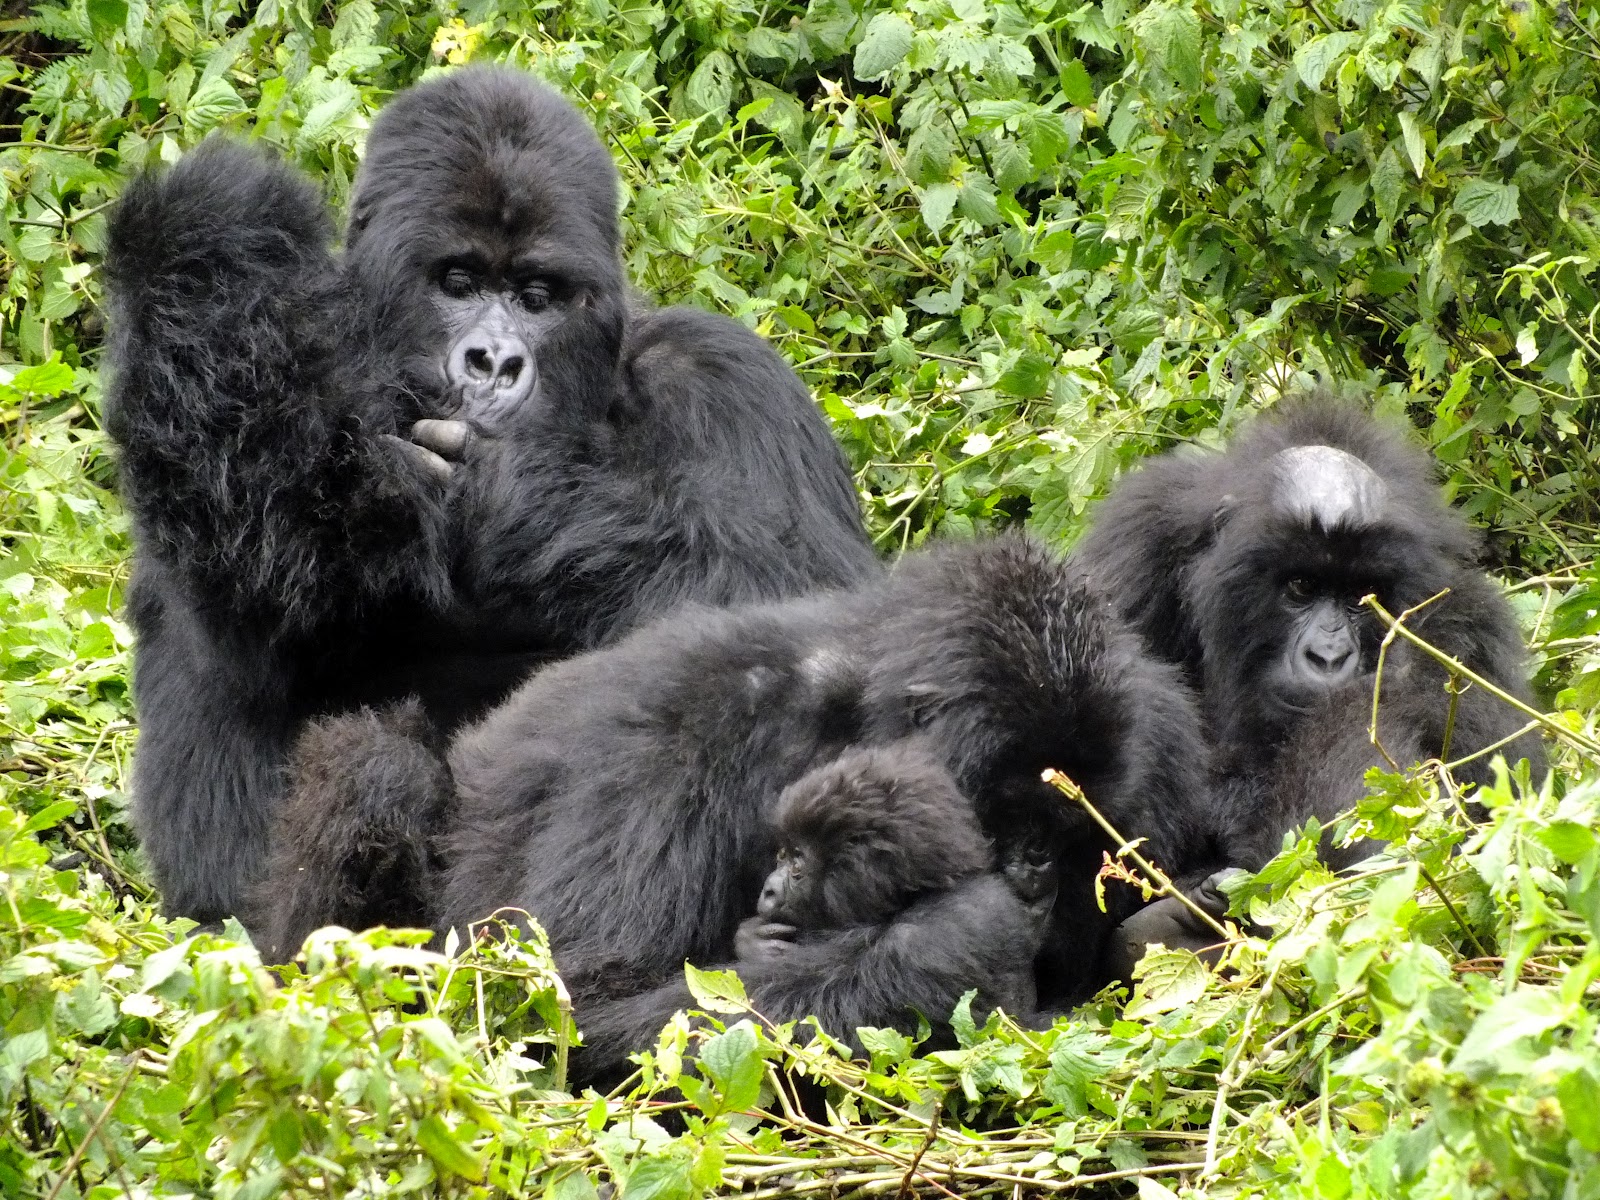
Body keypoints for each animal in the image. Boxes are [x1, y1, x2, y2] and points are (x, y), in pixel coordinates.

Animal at [103, 65, 876, 928]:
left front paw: (509, 495)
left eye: (538, 296)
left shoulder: (730, 379)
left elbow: (813, 601)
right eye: (458, 282)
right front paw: (205, 244)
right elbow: (253, 590)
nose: (496, 362)